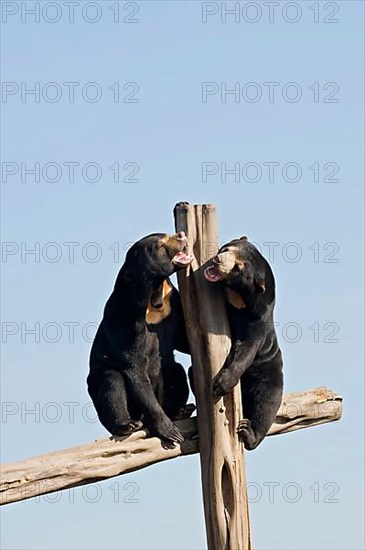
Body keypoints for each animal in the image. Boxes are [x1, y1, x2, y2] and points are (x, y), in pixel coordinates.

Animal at [86, 233, 192, 448]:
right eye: (159, 246)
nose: (182, 235)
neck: (154, 297)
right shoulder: (126, 321)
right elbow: (135, 370)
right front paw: (171, 433)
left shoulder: (172, 304)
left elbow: (182, 341)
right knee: (112, 380)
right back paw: (127, 425)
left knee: (176, 370)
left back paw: (180, 411)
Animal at [203, 238, 282, 452]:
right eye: (226, 249)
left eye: (238, 268)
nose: (217, 260)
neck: (239, 300)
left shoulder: (256, 323)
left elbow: (246, 350)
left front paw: (220, 385)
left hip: (269, 376)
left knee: (266, 405)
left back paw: (248, 432)